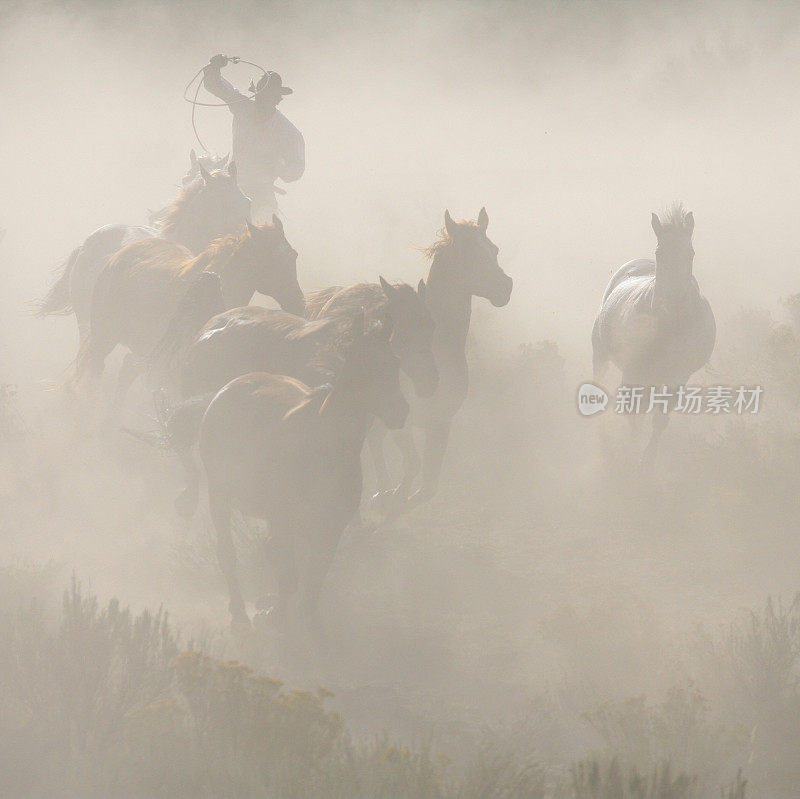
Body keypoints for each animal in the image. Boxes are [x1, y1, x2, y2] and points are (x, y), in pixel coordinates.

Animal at [195, 316, 406, 628]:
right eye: (362, 366)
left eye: (395, 361)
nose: (400, 411)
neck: (322, 450)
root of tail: (233, 384)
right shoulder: (284, 521)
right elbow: (289, 576)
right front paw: (275, 615)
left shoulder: (330, 529)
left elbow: (312, 584)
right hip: (220, 494)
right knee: (228, 553)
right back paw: (239, 613)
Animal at [592, 206, 716, 466]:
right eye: (660, 253)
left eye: (690, 253)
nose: (673, 301)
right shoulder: (632, 371)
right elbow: (633, 415)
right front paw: (632, 452)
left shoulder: (677, 377)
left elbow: (660, 420)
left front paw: (648, 460)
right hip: (602, 355)